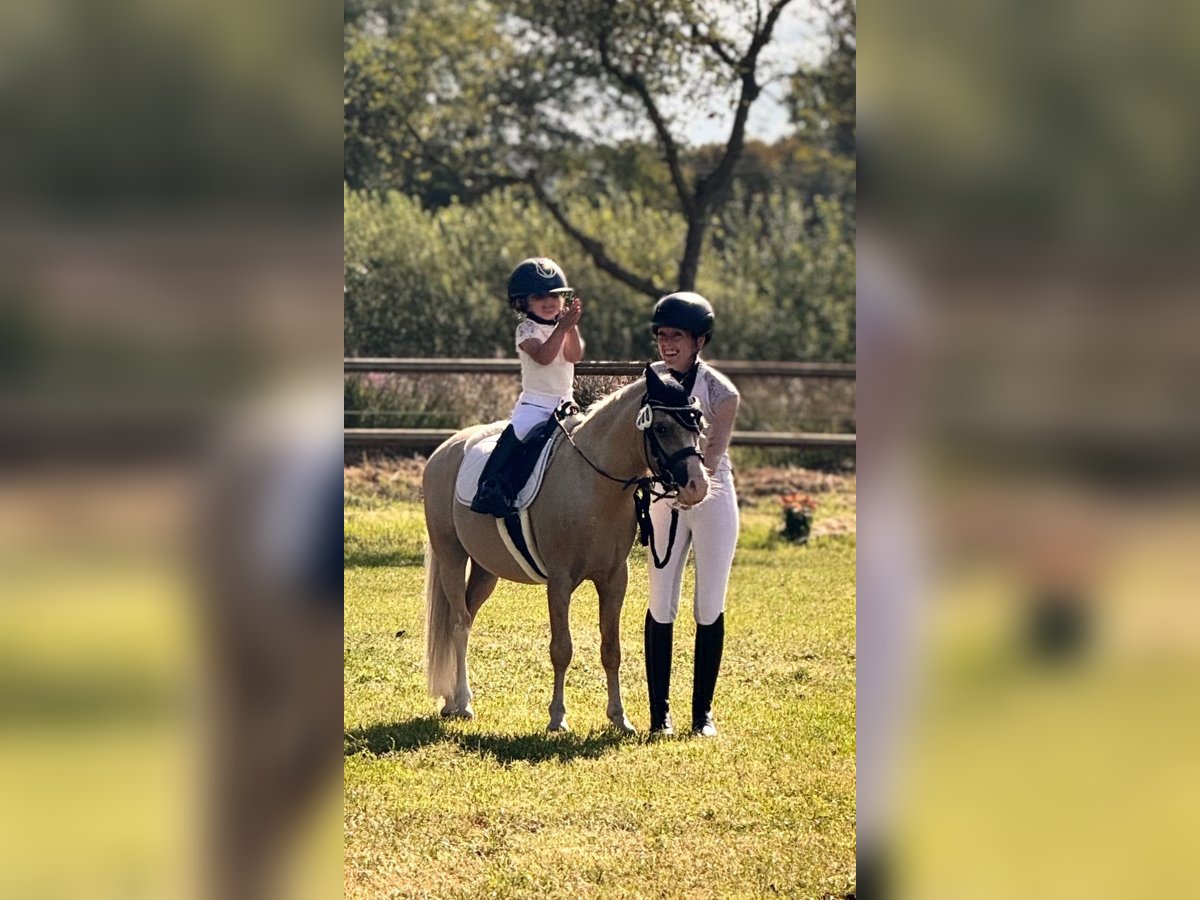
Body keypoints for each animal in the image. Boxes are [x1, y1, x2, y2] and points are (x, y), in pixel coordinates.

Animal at [422, 364, 710, 732]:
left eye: (697, 424)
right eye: (661, 427)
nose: (697, 486)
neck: (593, 484)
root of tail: (445, 449)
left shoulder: (615, 580)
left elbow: (611, 648)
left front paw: (620, 718)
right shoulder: (559, 582)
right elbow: (562, 649)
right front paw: (558, 718)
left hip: (486, 571)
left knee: (465, 619)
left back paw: (450, 701)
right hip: (451, 557)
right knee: (459, 623)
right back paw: (464, 703)